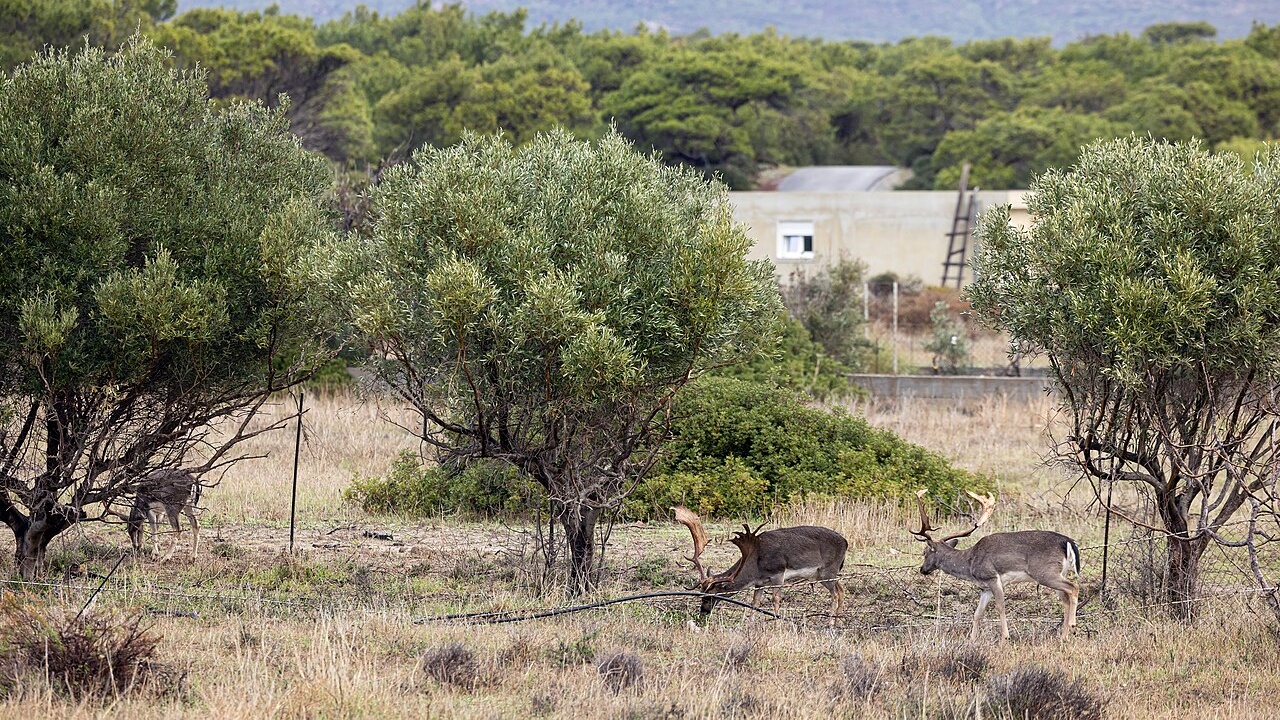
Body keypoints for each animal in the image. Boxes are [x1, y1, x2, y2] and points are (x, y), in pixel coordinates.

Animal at [673, 506, 848, 623]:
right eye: (701, 594)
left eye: (711, 596)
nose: (703, 612)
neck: (756, 565)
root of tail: (846, 543)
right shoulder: (760, 582)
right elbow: (754, 602)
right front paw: (750, 623)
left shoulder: (778, 573)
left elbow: (776, 599)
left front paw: (776, 623)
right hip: (823, 574)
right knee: (841, 589)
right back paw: (839, 619)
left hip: (828, 570)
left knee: (835, 593)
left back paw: (831, 621)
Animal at [911, 489, 1080, 643]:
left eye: (924, 552)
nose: (922, 569)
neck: (970, 563)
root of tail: (1068, 542)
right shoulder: (984, 587)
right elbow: (977, 613)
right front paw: (972, 640)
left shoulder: (992, 576)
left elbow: (1000, 606)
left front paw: (1005, 638)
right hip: (1059, 572)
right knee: (1065, 598)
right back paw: (1064, 637)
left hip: (1044, 572)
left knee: (1073, 587)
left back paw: (1072, 627)